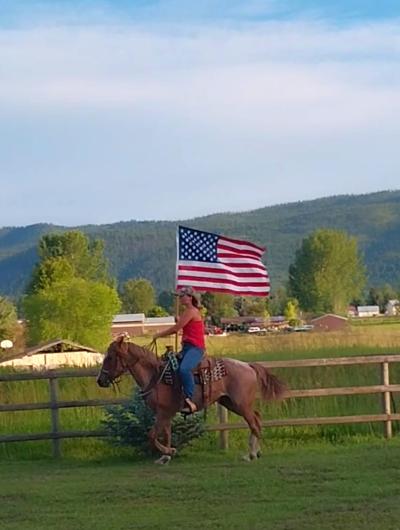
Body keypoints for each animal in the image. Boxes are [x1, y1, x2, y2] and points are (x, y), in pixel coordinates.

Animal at [96, 334, 284, 462]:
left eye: (110, 357)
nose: (100, 380)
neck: (155, 376)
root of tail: (248, 366)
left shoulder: (163, 413)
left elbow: (151, 435)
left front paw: (169, 452)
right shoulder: (165, 413)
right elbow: (166, 434)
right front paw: (166, 456)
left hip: (241, 404)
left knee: (254, 423)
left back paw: (250, 454)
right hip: (230, 403)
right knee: (257, 419)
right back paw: (256, 452)